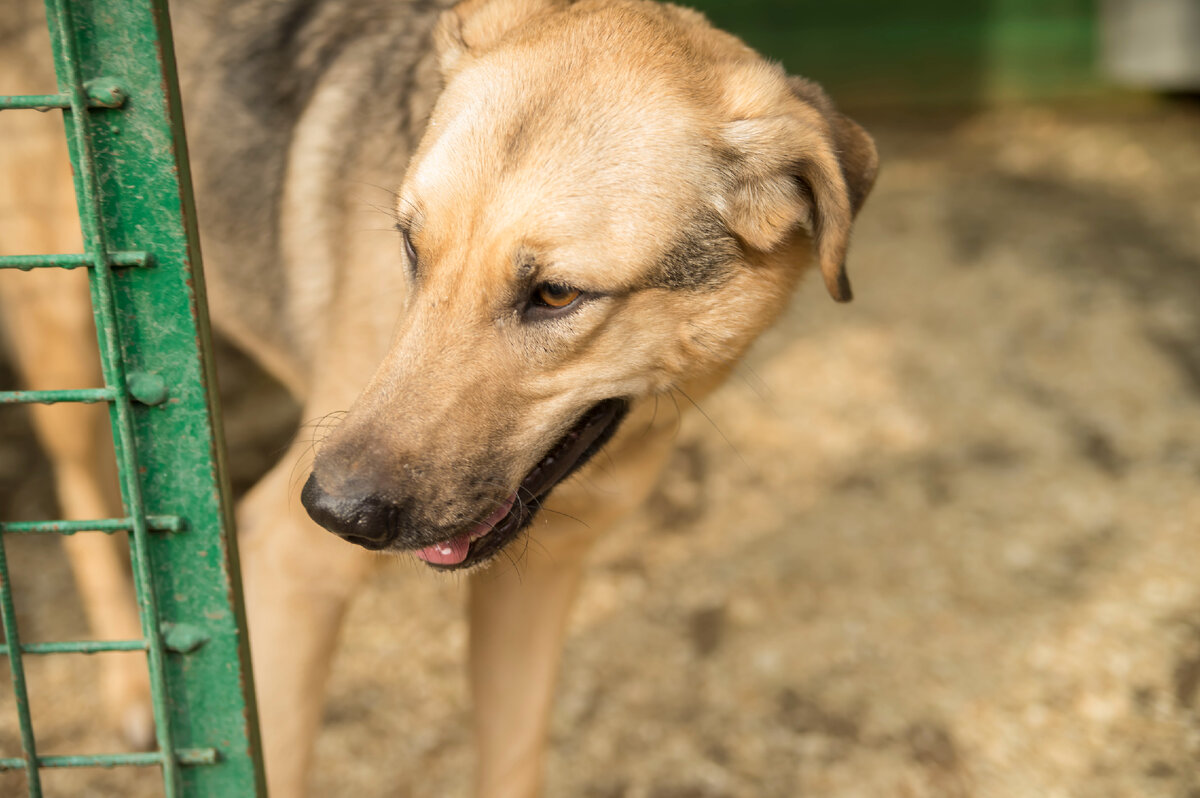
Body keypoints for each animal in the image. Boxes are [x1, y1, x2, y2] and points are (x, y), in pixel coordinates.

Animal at [0, 3, 883, 792]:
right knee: (88, 499)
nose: (334, 511)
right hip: (66, 322)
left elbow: (513, 762)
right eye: (411, 247)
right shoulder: (289, 569)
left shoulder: (536, 581)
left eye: (556, 295)